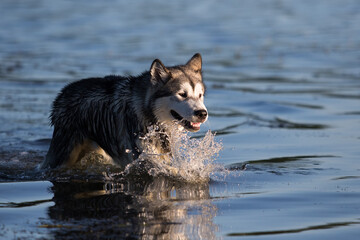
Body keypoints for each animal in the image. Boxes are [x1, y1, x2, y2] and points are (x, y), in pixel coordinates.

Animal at [40, 53, 208, 169]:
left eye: (200, 95)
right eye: (182, 94)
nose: (202, 113)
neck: (150, 118)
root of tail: (62, 93)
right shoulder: (144, 160)